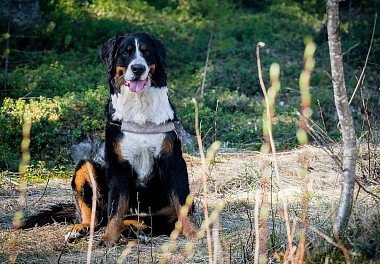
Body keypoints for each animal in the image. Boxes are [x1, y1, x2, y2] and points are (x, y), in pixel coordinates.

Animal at [22, 33, 197, 245]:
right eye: (126, 52)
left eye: (146, 51)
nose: (138, 68)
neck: (139, 107)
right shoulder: (118, 166)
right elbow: (116, 208)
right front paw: (108, 239)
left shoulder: (173, 161)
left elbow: (182, 204)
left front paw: (194, 233)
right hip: (85, 167)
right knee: (98, 218)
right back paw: (80, 229)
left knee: (150, 220)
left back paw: (136, 231)